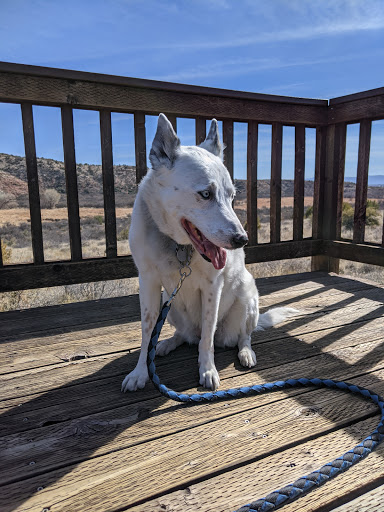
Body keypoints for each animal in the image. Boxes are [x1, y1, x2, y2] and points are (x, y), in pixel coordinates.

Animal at [121, 115, 296, 392]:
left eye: (232, 196)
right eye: (206, 194)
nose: (242, 240)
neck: (179, 246)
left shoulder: (212, 288)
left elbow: (207, 338)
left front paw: (207, 370)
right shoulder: (148, 283)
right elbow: (147, 331)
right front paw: (140, 372)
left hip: (247, 300)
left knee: (241, 336)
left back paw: (245, 352)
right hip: (170, 306)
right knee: (185, 336)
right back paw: (167, 344)